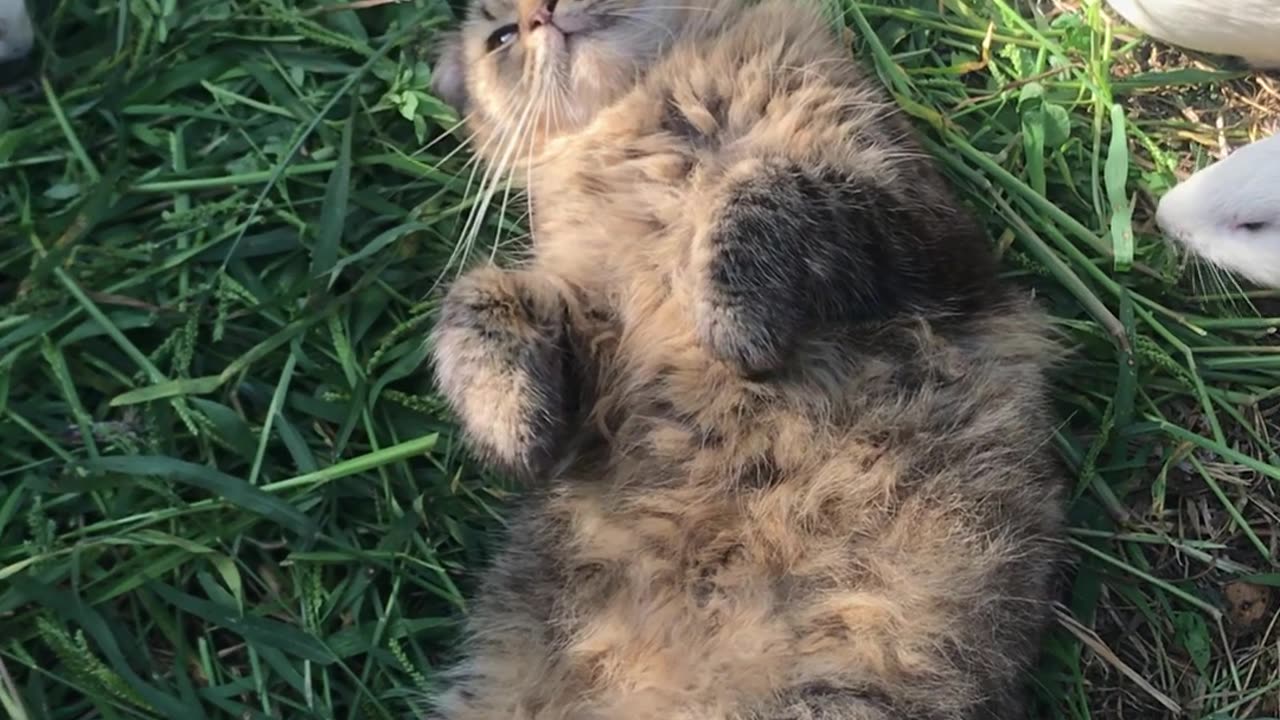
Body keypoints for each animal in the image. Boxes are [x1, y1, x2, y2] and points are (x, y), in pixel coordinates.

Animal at [424, 1, 1064, 717]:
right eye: (501, 37)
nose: (541, 15)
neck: (655, 116)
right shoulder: (585, 340)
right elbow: (476, 298)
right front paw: (513, 432)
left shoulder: (928, 237)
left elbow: (758, 186)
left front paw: (731, 325)